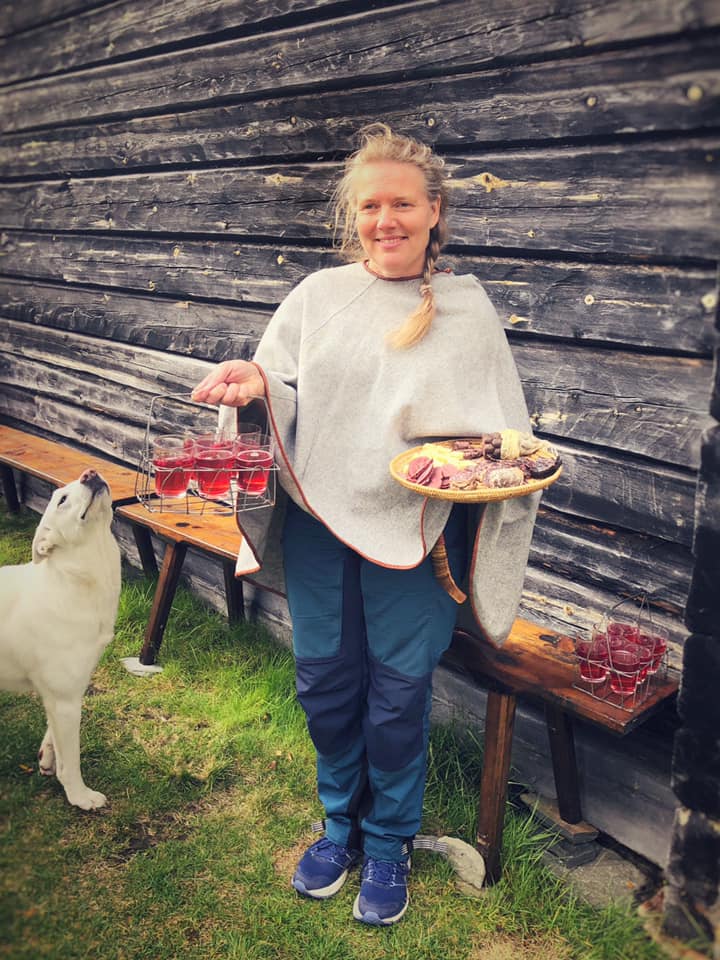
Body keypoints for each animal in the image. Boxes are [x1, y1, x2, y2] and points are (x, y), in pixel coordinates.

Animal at [0, 472, 121, 808]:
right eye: (62, 500)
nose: (90, 473)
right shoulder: (66, 700)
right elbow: (72, 760)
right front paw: (79, 796)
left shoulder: (61, 695)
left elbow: (53, 734)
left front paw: (47, 758)